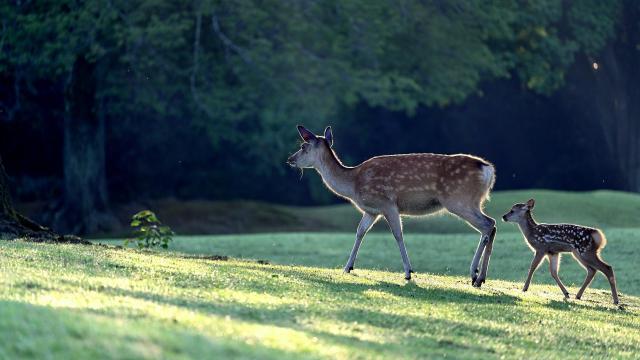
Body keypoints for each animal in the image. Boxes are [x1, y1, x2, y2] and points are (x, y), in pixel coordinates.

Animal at [288, 125, 498, 286]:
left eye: (303, 146)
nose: (290, 159)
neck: (353, 183)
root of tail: (488, 170)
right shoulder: (371, 211)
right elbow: (360, 232)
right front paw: (347, 267)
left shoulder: (387, 203)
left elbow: (398, 234)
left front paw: (408, 272)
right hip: (472, 202)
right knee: (492, 224)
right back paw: (481, 277)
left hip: (459, 200)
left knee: (487, 224)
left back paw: (474, 274)